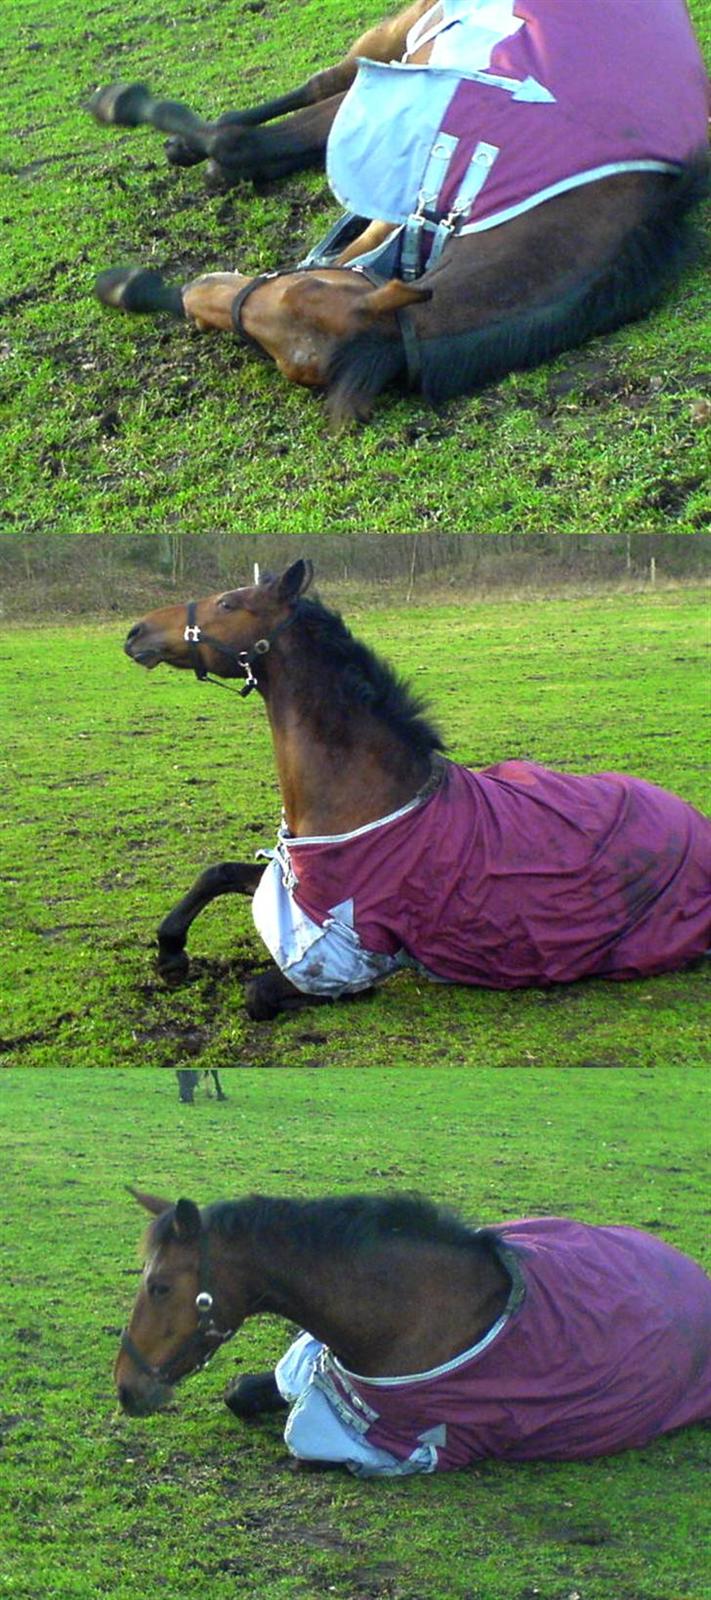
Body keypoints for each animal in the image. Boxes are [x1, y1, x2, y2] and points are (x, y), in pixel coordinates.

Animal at [86, 0, 707, 419]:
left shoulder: (403, 206)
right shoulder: (393, 107)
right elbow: (244, 140)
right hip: (402, 31)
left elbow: (249, 151)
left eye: (293, 294)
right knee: (322, 80)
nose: (196, 293)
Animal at [123, 556, 711, 1017]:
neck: (361, 794)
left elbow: (260, 994)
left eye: (228, 603)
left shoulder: (355, 952)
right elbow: (217, 872)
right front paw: (171, 956)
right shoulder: (300, 886)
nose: (135, 633)